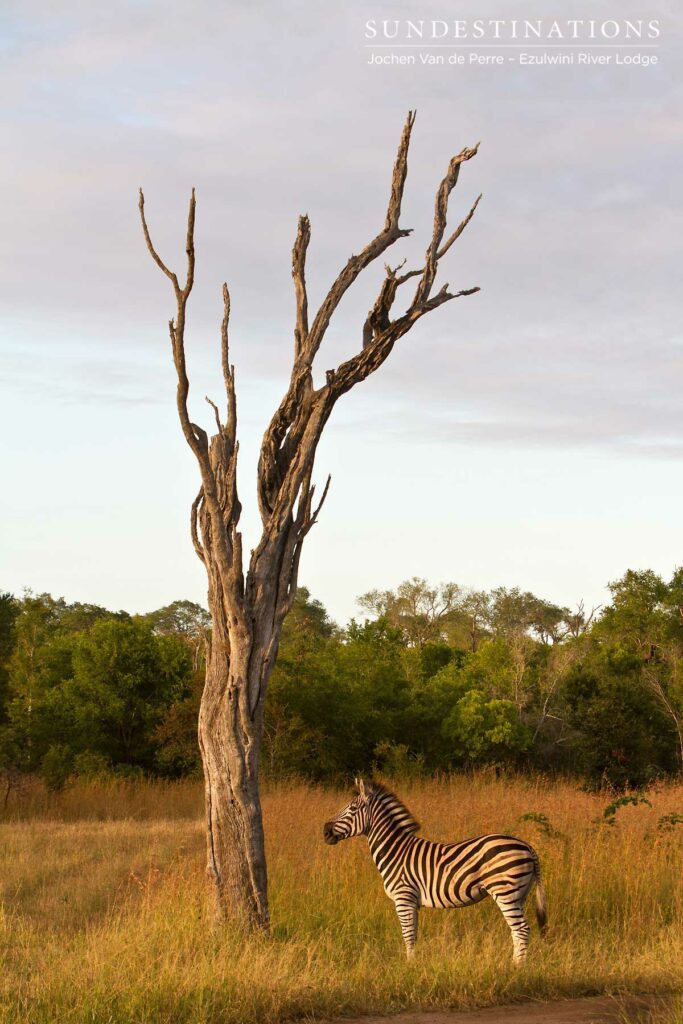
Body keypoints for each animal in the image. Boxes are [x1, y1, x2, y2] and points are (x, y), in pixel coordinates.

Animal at [323, 778, 548, 962]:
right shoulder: (412, 902)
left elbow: (408, 936)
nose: (325, 831)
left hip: (505, 891)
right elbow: (414, 934)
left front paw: (409, 967)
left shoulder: (403, 897)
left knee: (522, 930)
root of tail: (527, 846)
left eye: (352, 809)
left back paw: (516, 968)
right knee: (517, 931)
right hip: (519, 894)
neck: (396, 851)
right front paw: (413, 964)